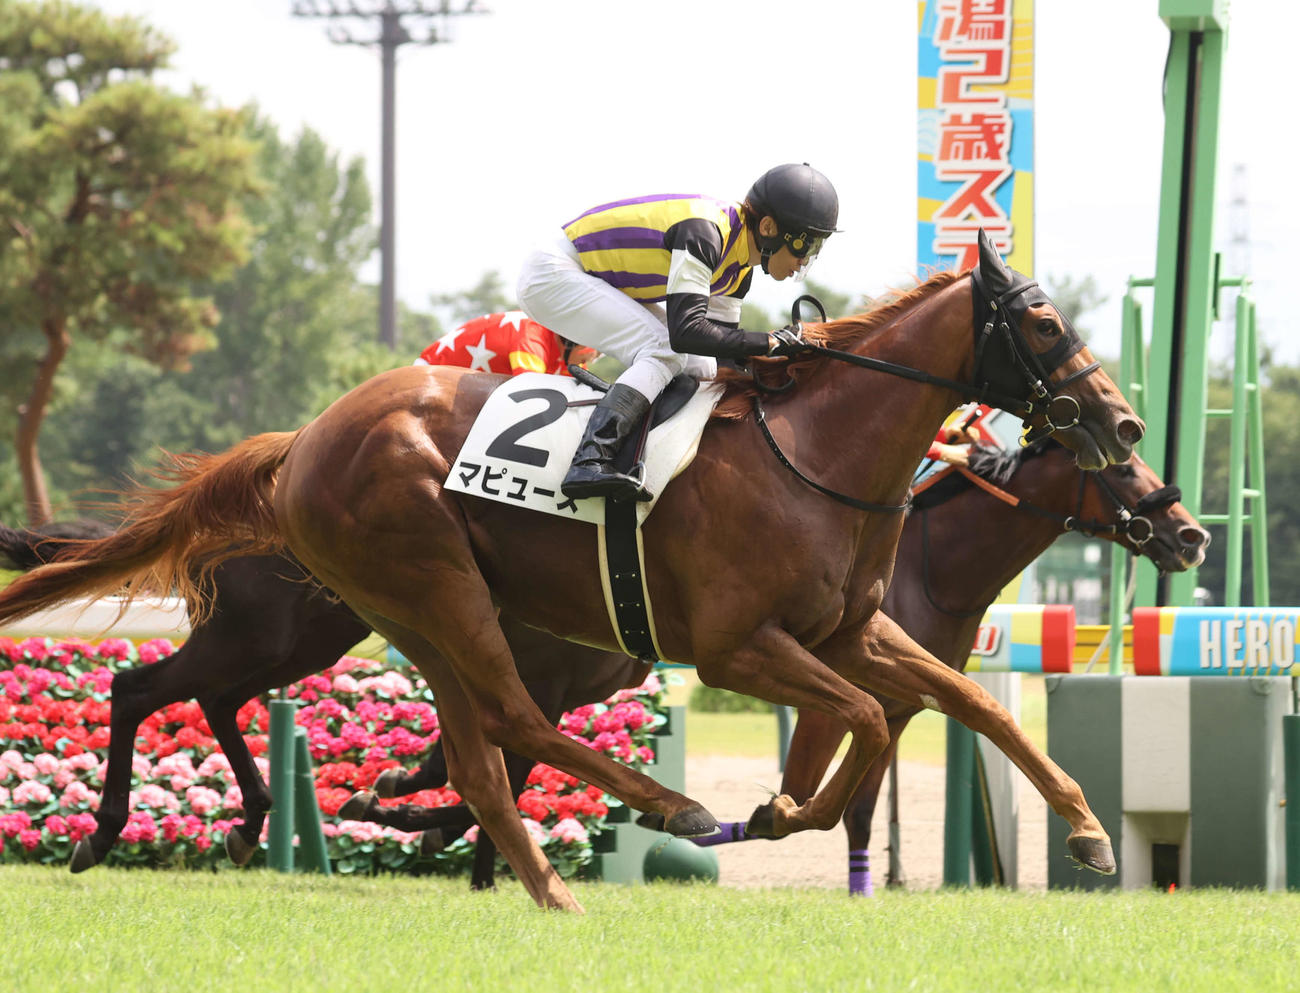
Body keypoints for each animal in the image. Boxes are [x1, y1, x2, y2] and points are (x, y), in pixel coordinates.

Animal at [0, 232, 1144, 910]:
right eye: (1043, 322)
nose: (1124, 424)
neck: (813, 454)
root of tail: (302, 440)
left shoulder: (845, 630)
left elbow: (969, 704)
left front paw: (1090, 833)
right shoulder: (737, 648)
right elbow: (863, 722)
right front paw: (775, 813)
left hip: (405, 610)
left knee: (475, 753)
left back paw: (545, 881)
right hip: (419, 586)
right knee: (496, 723)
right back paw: (664, 812)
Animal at [693, 438, 1209, 892]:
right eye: (1123, 470)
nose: (1193, 536)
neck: (929, 576)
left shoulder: (898, 711)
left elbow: (859, 811)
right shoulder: (823, 709)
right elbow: (800, 793)